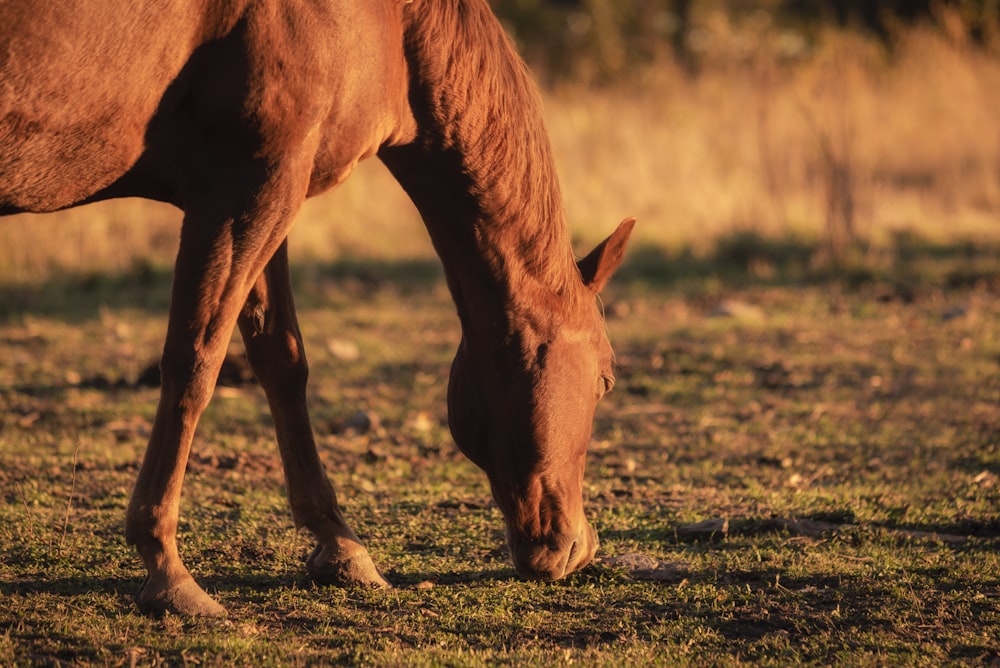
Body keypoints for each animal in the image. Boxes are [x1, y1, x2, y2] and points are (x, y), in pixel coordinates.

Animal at [1, 0, 632, 616]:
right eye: (606, 378)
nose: (577, 548)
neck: (394, 24)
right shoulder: (251, 187)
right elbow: (195, 362)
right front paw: (166, 567)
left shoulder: (269, 191)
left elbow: (281, 361)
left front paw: (341, 546)